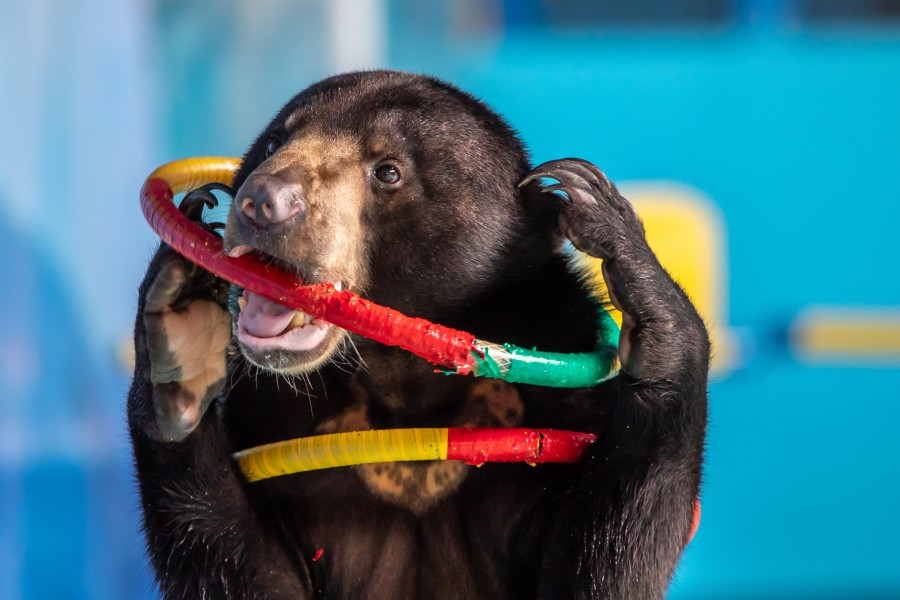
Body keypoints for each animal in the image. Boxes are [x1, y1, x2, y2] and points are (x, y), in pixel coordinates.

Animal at [132, 69, 712, 596]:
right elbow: (256, 574)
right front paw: (178, 343)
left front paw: (612, 232)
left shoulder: (559, 417)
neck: (405, 386)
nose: (264, 201)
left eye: (388, 171)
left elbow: (601, 565)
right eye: (274, 140)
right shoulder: (276, 426)